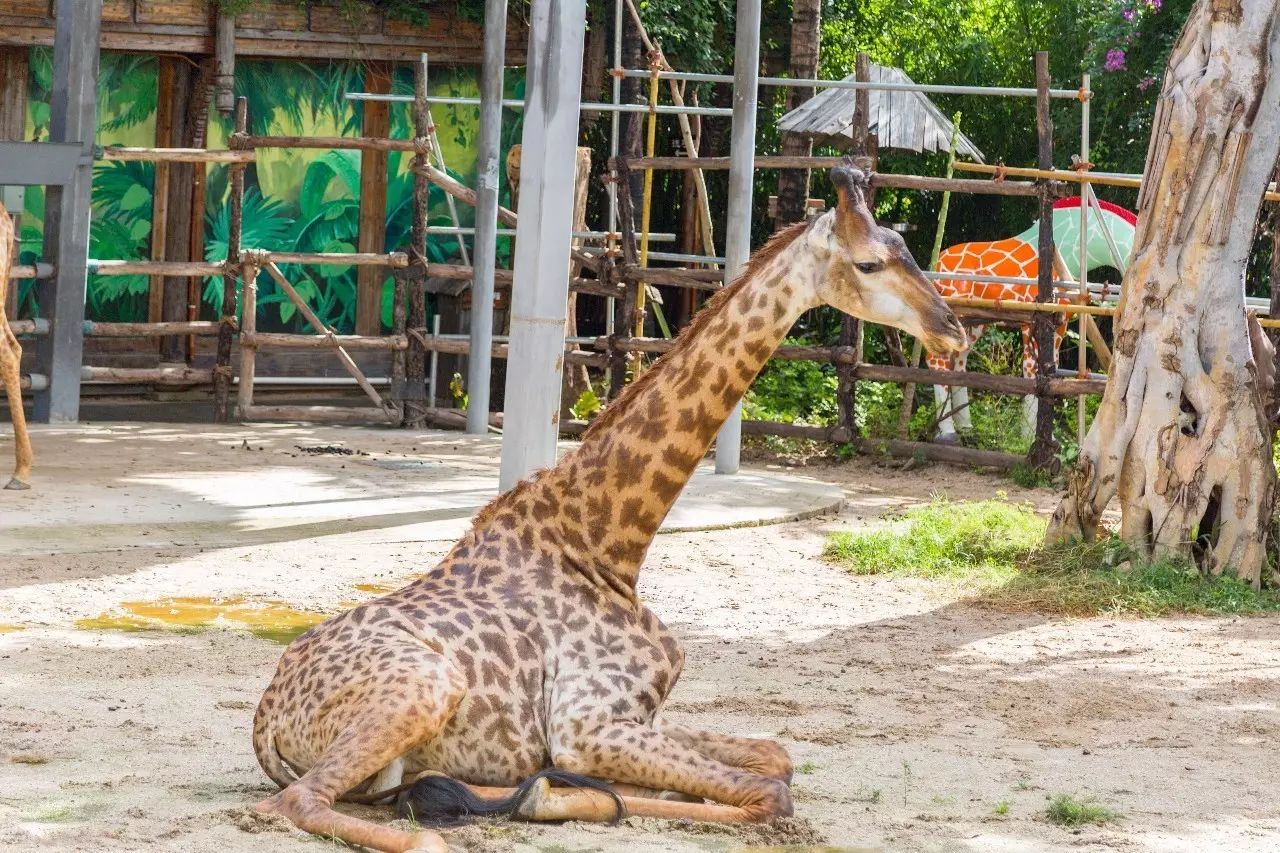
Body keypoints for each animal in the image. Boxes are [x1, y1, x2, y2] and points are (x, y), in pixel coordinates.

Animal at [252, 161, 967, 850]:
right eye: (869, 262)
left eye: (905, 246)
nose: (953, 330)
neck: (608, 546)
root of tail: (265, 720)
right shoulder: (588, 725)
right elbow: (770, 792)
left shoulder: (639, 718)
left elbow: (776, 756)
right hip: (424, 687)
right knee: (298, 803)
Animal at [926, 194, 1136, 438]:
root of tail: (936, 264)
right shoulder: (1033, 320)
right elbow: (1030, 369)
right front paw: (1028, 436)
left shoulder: (1060, 322)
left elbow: (1050, 368)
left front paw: (1043, 435)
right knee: (937, 360)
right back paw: (948, 434)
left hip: (974, 323)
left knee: (959, 359)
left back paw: (965, 426)